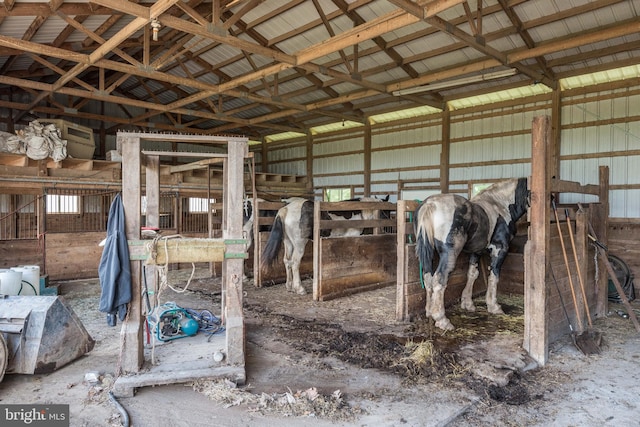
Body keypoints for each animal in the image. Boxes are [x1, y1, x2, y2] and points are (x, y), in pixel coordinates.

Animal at [260, 196, 390, 294]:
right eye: (386, 212)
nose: (386, 229)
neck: (359, 212)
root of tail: (286, 209)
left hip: (288, 243)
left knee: (287, 261)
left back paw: (289, 286)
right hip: (299, 244)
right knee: (295, 262)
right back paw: (299, 288)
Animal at [416, 179, 528, 332]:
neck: (500, 205)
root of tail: (430, 204)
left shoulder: (476, 252)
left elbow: (472, 274)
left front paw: (468, 303)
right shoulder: (500, 249)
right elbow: (494, 276)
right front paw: (494, 306)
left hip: (428, 253)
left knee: (427, 277)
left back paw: (429, 311)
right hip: (449, 255)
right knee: (439, 279)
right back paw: (442, 320)